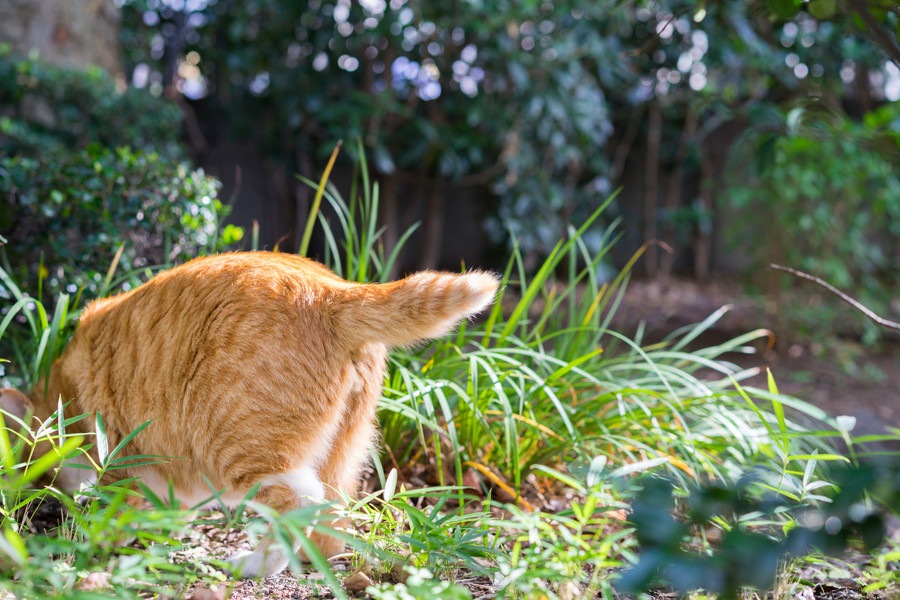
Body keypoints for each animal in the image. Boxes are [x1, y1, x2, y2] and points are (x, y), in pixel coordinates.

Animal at [1, 252, 500, 576]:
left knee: (300, 501)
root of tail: (333, 292)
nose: (37, 506)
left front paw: (95, 543)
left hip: (238, 451)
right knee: (332, 523)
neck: (65, 389)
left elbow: (117, 508)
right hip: (342, 455)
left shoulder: (122, 455)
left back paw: (253, 565)